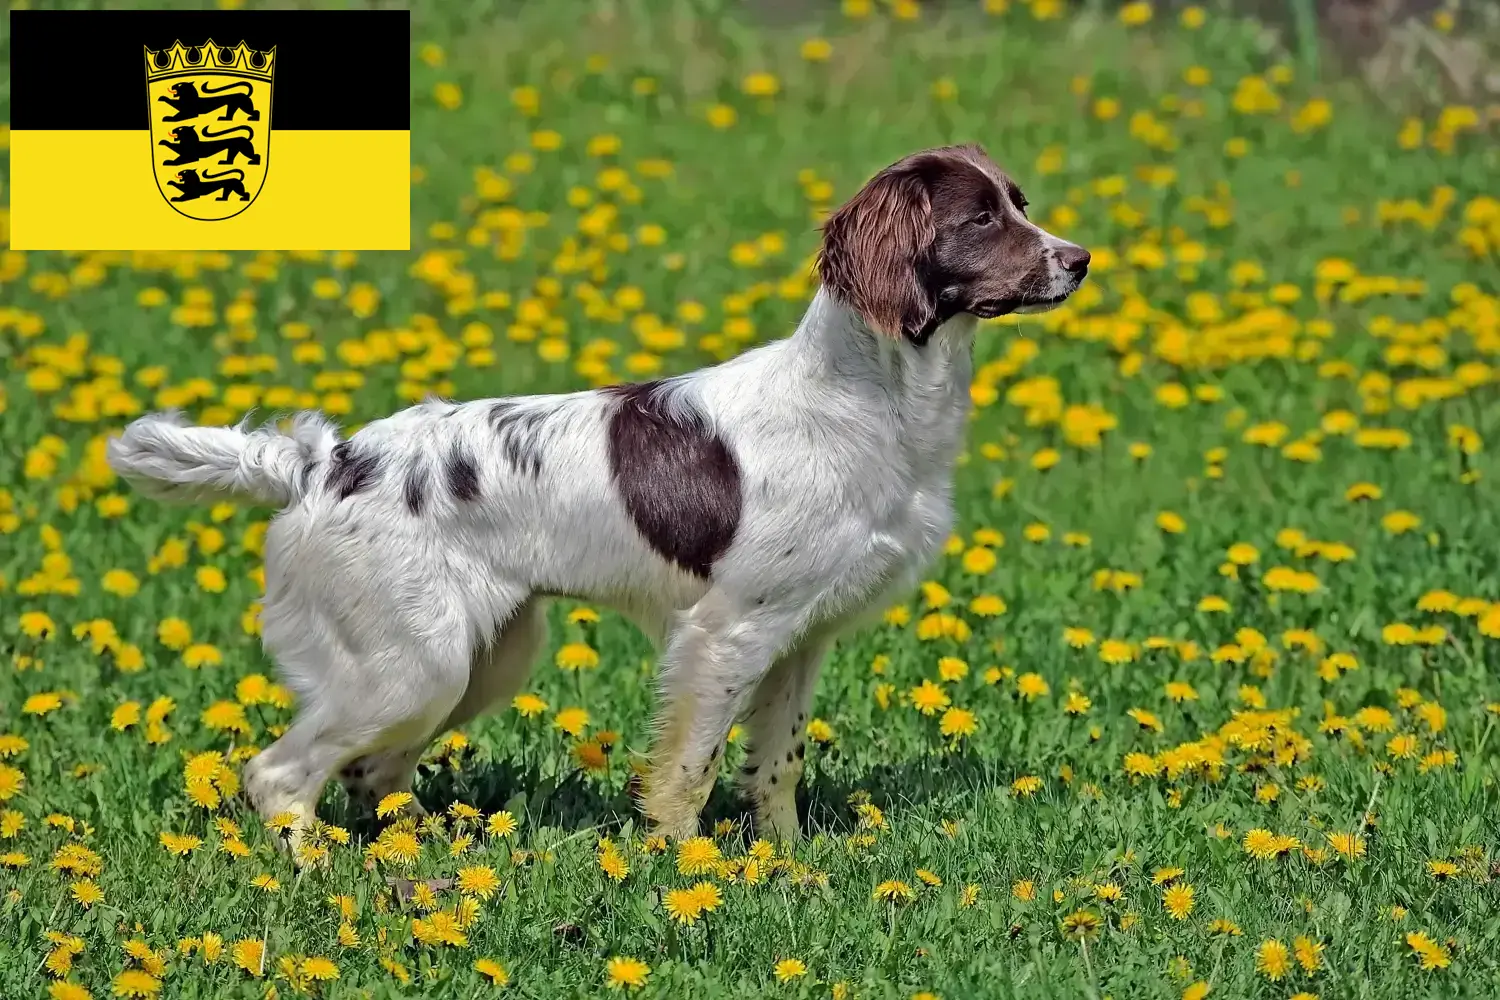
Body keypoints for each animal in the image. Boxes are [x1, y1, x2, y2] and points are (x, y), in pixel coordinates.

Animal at [108, 142, 1092, 851]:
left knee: (373, 775)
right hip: (412, 664)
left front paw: (790, 864)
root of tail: (320, 462)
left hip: (482, 657)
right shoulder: (727, 632)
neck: (867, 400)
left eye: (1020, 203)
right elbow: (690, 769)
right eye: (979, 217)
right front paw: (687, 866)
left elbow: (776, 765)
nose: (1080, 259)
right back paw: (318, 873)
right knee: (283, 775)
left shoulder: (800, 637)